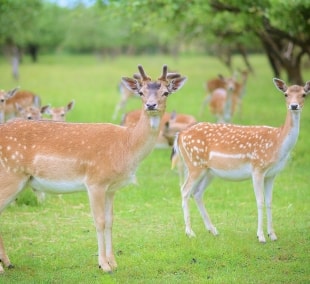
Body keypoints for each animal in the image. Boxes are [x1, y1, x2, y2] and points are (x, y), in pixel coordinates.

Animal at [0, 64, 186, 272]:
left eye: (166, 92)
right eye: (140, 92)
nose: (151, 105)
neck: (126, 146)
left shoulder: (111, 188)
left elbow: (111, 220)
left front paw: (113, 262)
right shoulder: (95, 181)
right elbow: (99, 221)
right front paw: (103, 265)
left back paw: (8, 262)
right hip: (9, 176)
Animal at [172, 77, 310, 242]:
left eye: (304, 94)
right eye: (286, 94)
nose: (294, 106)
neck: (278, 143)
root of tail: (179, 135)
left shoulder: (272, 174)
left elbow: (269, 202)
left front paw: (273, 235)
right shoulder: (258, 168)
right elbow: (260, 201)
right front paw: (261, 236)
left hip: (208, 171)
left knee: (197, 193)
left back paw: (213, 230)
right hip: (194, 165)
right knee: (185, 190)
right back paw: (190, 232)